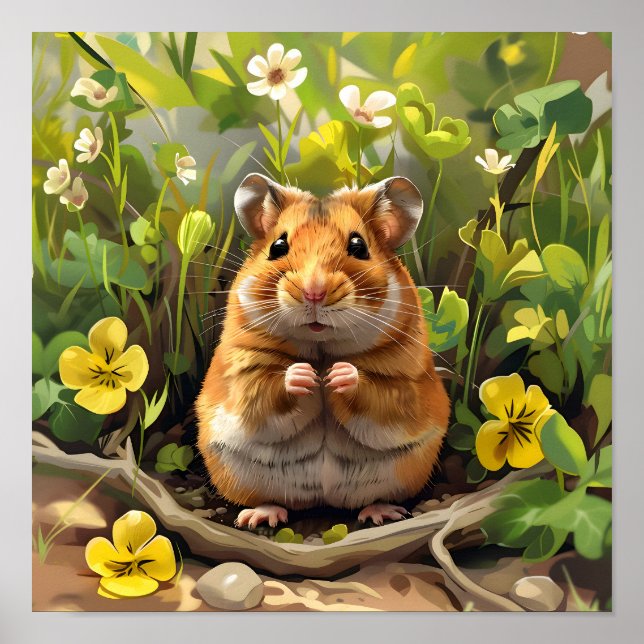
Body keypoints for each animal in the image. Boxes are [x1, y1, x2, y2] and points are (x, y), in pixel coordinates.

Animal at [195, 173, 450, 528]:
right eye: (278, 247)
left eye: (359, 247)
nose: (313, 292)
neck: (321, 348)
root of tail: (324, 499)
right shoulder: (242, 373)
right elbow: (265, 390)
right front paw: (305, 376)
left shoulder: (406, 380)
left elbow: (378, 394)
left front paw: (337, 375)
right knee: (269, 500)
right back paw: (260, 516)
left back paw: (381, 512)